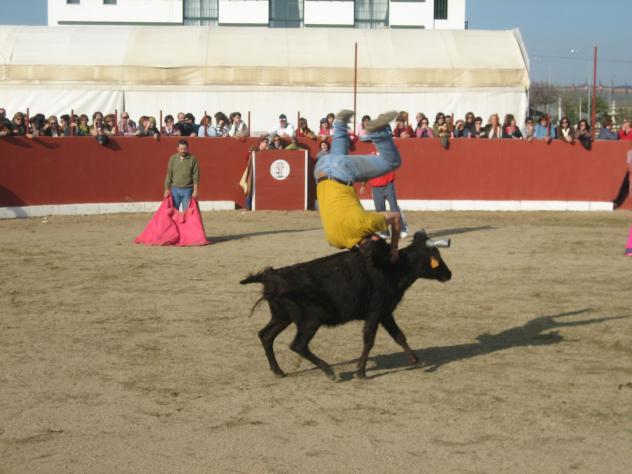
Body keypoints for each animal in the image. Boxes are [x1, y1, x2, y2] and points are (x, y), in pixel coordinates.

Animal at [240, 230, 452, 380]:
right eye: (436, 257)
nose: (449, 274)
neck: (395, 267)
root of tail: (272, 275)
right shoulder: (375, 312)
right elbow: (369, 339)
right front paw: (361, 372)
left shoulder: (385, 313)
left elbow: (399, 336)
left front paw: (415, 360)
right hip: (311, 320)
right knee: (298, 345)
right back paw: (329, 372)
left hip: (281, 317)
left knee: (266, 336)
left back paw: (278, 371)